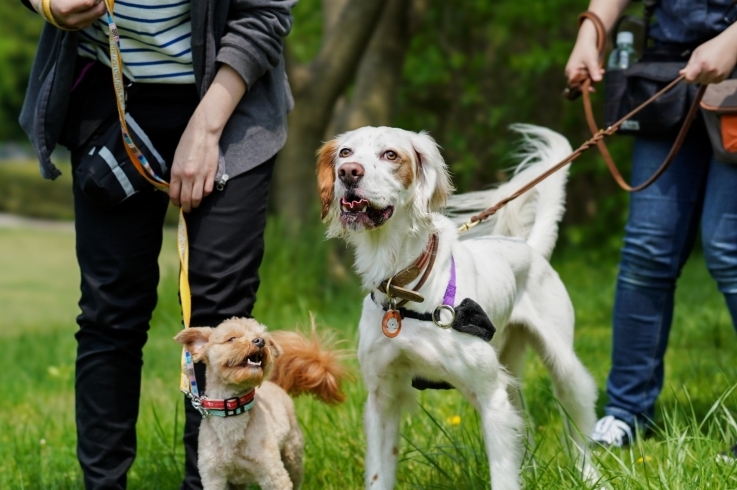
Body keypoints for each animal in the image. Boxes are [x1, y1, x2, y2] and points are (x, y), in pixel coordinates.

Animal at [174, 318, 346, 490]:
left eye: (263, 338)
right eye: (232, 339)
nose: (260, 341)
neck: (233, 409)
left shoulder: (273, 474)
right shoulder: (213, 476)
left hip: (292, 454)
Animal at [316, 125, 600, 490]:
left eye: (390, 154)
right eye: (345, 153)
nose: (348, 173)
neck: (405, 289)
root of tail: (529, 247)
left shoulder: (491, 396)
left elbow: (503, 475)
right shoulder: (382, 398)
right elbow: (379, 473)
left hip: (563, 366)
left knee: (578, 426)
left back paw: (590, 475)